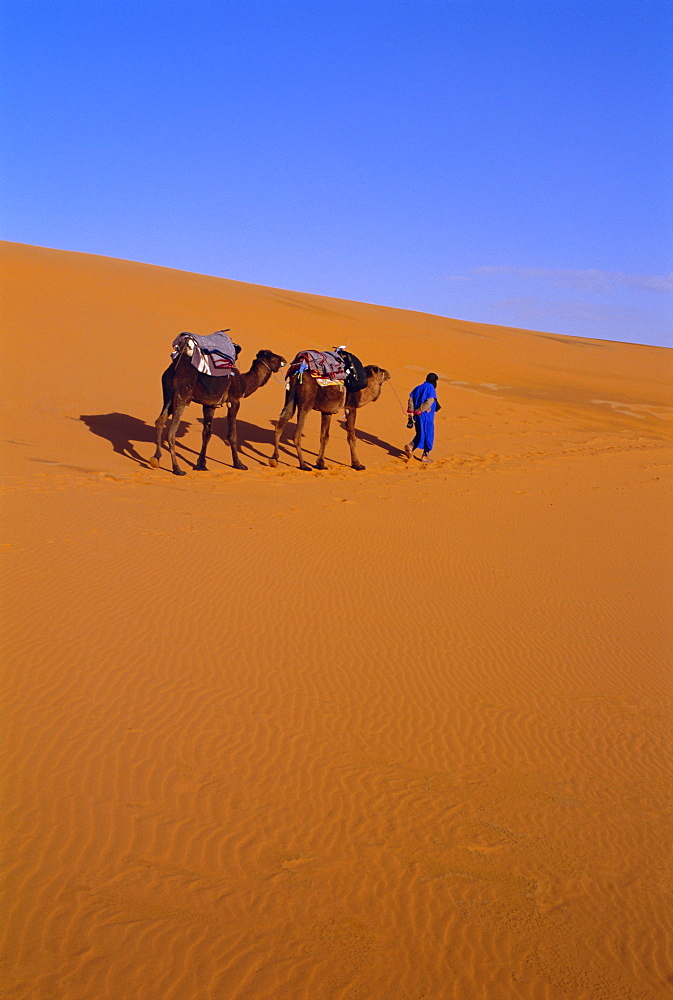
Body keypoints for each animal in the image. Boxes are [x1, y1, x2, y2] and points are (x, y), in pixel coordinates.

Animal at [151, 346, 284, 474]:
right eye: (273, 357)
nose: (284, 360)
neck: (243, 382)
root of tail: (173, 369)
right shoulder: (234, 400)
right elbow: (232, 434)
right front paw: (239, 464)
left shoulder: (209, 405)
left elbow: (206, 433)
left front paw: (201, 465)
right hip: (182, 396)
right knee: (171, 432)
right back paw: (177, 469)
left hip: (168, 395)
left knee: (160, 421)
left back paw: (156, 458)